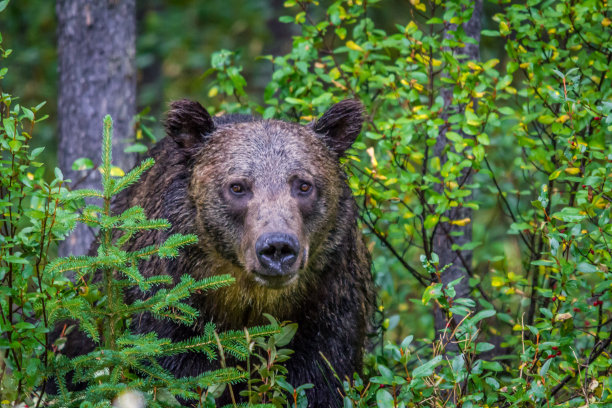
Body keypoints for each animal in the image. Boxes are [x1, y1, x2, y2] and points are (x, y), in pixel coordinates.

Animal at [63, 99, 372, 408]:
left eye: (304, 185)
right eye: (238, 186)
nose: (277, 248)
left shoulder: (328, 310)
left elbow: (323, 380)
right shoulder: (171, 320)